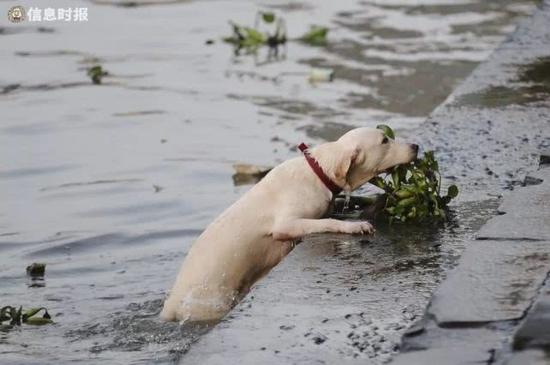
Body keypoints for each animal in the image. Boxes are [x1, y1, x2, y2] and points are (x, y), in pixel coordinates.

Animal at [162, 126, 420, 320]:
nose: (416, 146)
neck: (319, 172)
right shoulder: (286, 225)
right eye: (385, 140)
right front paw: (355, 226)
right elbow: (325, 221)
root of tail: (170, 305)